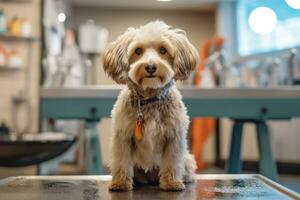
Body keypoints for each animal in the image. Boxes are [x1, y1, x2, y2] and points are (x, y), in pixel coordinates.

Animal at [102, 20, 198, 191]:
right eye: (138, 50)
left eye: (163, 50)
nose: (151, 67)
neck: (150, 99)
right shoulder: (122, 137)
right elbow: (121, 161)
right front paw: (120, 183)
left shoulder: (174, 137)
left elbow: (172, 161)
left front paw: (171, 183)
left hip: (187, 160)